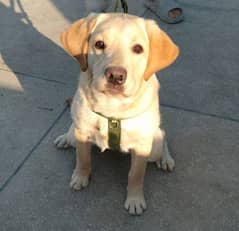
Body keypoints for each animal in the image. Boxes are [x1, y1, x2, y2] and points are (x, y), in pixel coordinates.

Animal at [53, 12, 177, 215]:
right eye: (99, 44)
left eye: (138, 48)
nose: (115, 76)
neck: (112, 107)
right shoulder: (82, 134)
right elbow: (83, 158)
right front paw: (80, 177)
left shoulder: (142, 146)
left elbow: (136, 174)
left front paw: (135, 199)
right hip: (75, 134)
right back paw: (65, 137)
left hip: (154, 147)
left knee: (163, 136)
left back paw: (166, 159)